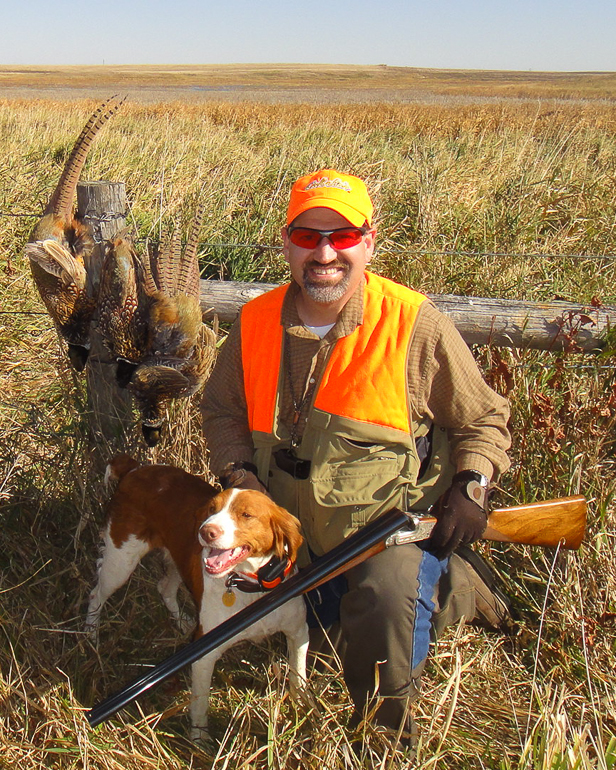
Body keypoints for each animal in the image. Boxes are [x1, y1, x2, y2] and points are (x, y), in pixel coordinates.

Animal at [85, 452, 308, 736]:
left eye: (246, 514)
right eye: (212, 509)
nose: (205, 531)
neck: (251, 587)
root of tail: (136, 468)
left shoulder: (299, 632)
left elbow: (298, 678)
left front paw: (304, 713)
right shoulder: (205, 655)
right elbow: (200, 706)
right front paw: (199, 739)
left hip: (176, 560)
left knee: (164, 588)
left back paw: (183, 623)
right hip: (121, 561)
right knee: (96, 595)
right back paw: (91, 636)